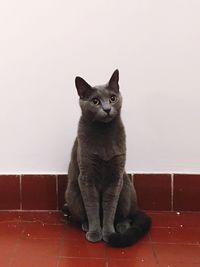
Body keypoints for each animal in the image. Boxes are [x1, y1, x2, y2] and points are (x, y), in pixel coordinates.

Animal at [63, 69, 151, 249]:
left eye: (112, 98)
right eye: (95, 101)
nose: (107, 108)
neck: (104, 133)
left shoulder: (115, 177)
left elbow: (110, 207)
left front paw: (109, 234)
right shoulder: (86, 177)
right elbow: (92, 206)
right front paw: (95, 233)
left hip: (126, 188)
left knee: (127, 216)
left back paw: (122, 227)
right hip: (72, 193)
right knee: (81, 214)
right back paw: (86, 225)